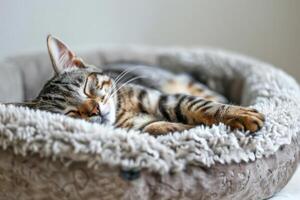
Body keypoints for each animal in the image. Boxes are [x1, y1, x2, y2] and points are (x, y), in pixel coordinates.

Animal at [10, 35, 264, 136]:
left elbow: (201, 107)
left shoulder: (164, 98)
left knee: (217, 98)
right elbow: (154, 127)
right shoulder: (140, 127)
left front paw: (239, 114)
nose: (95, 110)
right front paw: (181, 128)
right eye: (70, 113)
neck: (122, 113)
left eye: (86, 87)